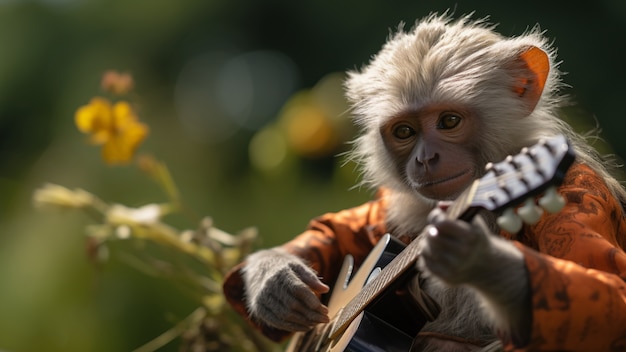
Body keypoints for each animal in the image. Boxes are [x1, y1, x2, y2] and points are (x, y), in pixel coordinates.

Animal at [223, 12, 626, 350]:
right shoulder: (387, 206)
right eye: (405, 131)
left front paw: (479, 260)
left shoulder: (579, 189)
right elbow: (335, 228)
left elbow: (608, 293)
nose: (425, 158)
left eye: (449, 122)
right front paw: (274, 278)